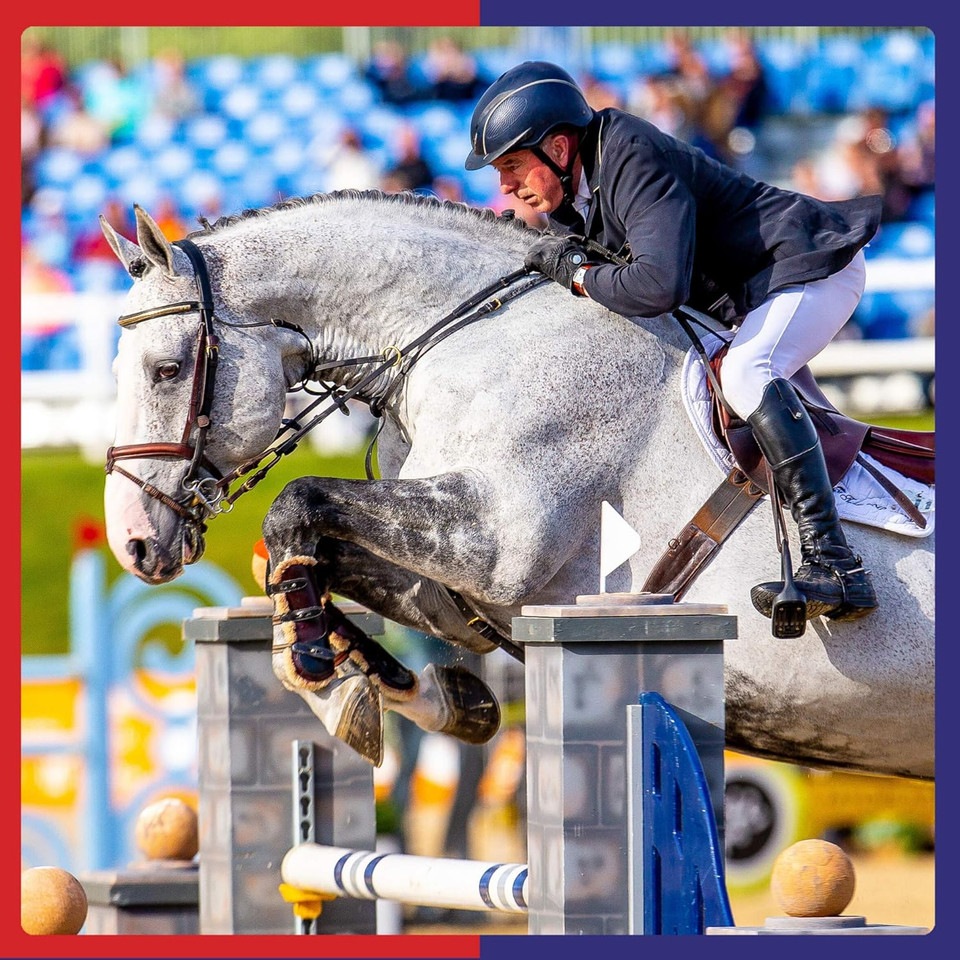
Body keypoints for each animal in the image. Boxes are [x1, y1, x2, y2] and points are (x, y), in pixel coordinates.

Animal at [100, 192, 934, 780]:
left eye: (167, 370)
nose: (134, 543)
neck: (464, 334)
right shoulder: (458, 581)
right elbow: (308, 557)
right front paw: (405, 693)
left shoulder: (495, 540)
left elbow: (296, 504)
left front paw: (315, 667)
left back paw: (829, 583)